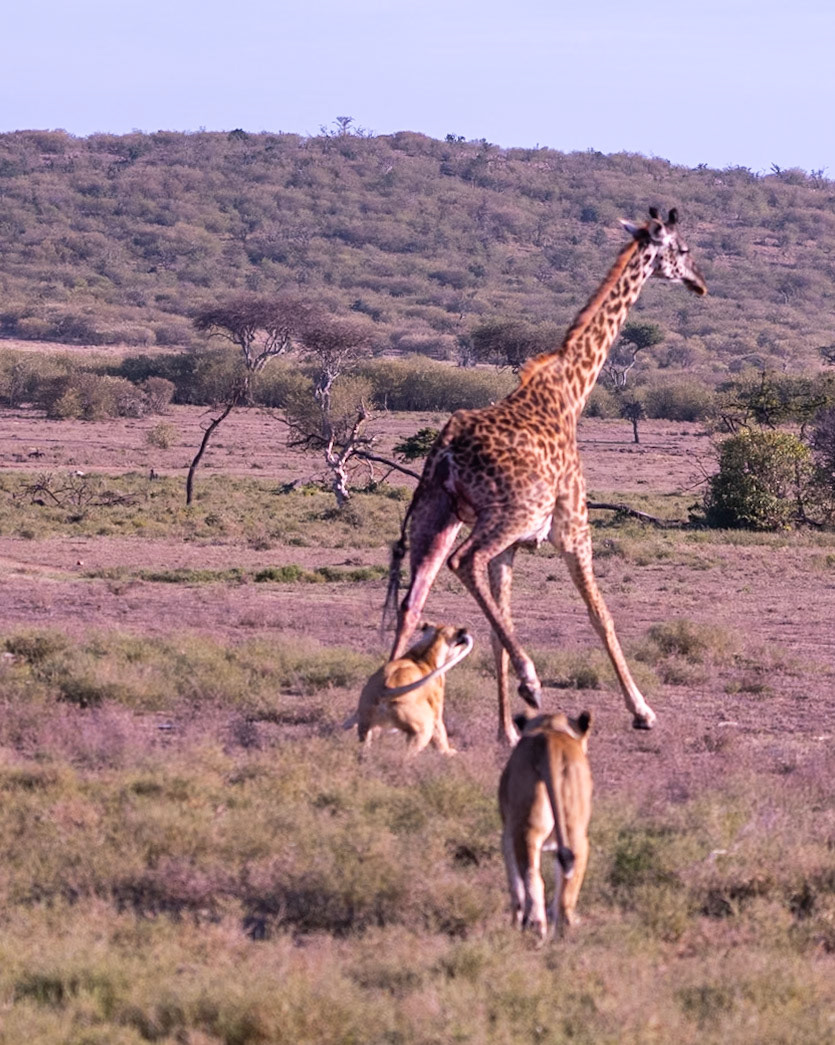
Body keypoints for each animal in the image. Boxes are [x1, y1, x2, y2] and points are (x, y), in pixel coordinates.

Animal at [385, 207, 707, 745]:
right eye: (681, 250)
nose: (699, 283)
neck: (572, 391)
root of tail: (445, 451)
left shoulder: (514, 548)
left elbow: (500, 621)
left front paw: (505, 731)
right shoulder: (572, 525)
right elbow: (602, 616)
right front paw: (642, 711)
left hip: (437, 515)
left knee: (413, 599)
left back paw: (387, 704)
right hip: (509, 513)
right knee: (463, 562)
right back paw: (530, 681)